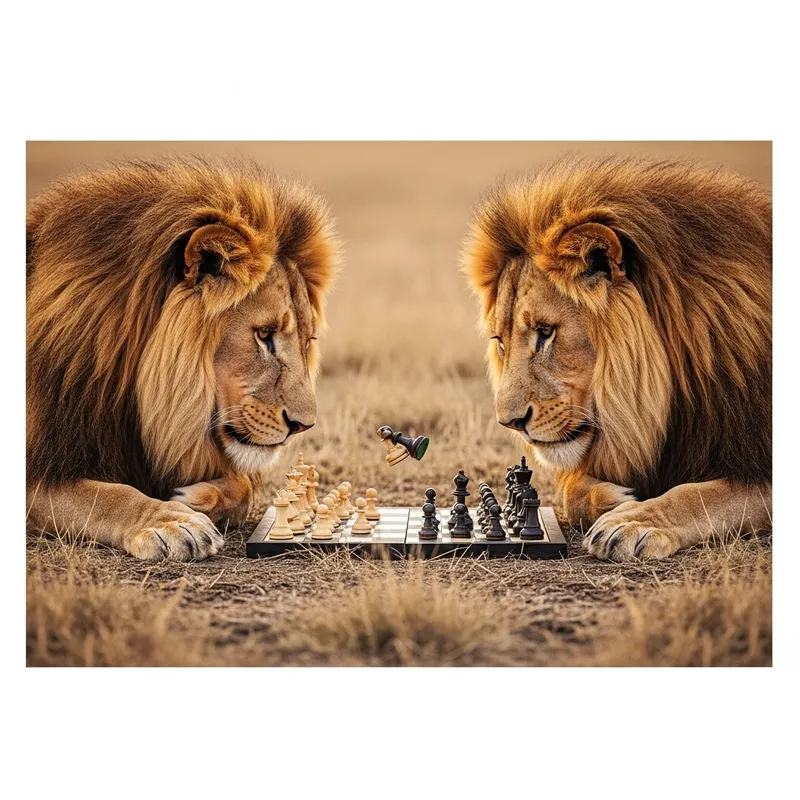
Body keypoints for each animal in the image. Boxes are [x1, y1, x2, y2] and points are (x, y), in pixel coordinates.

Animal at [27, 155, 338, 561]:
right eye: (265, 334)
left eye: (308, 340)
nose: (303, 426)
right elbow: (107, 497)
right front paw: (171, 522)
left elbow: (244, 487)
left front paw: (192, 498)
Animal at [462, 155, 771, 561]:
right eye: (500, 342)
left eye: (546, 332)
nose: (511, 423)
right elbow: (568, 492)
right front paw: (613, 500)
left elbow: (702, 495)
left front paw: (634, 521)